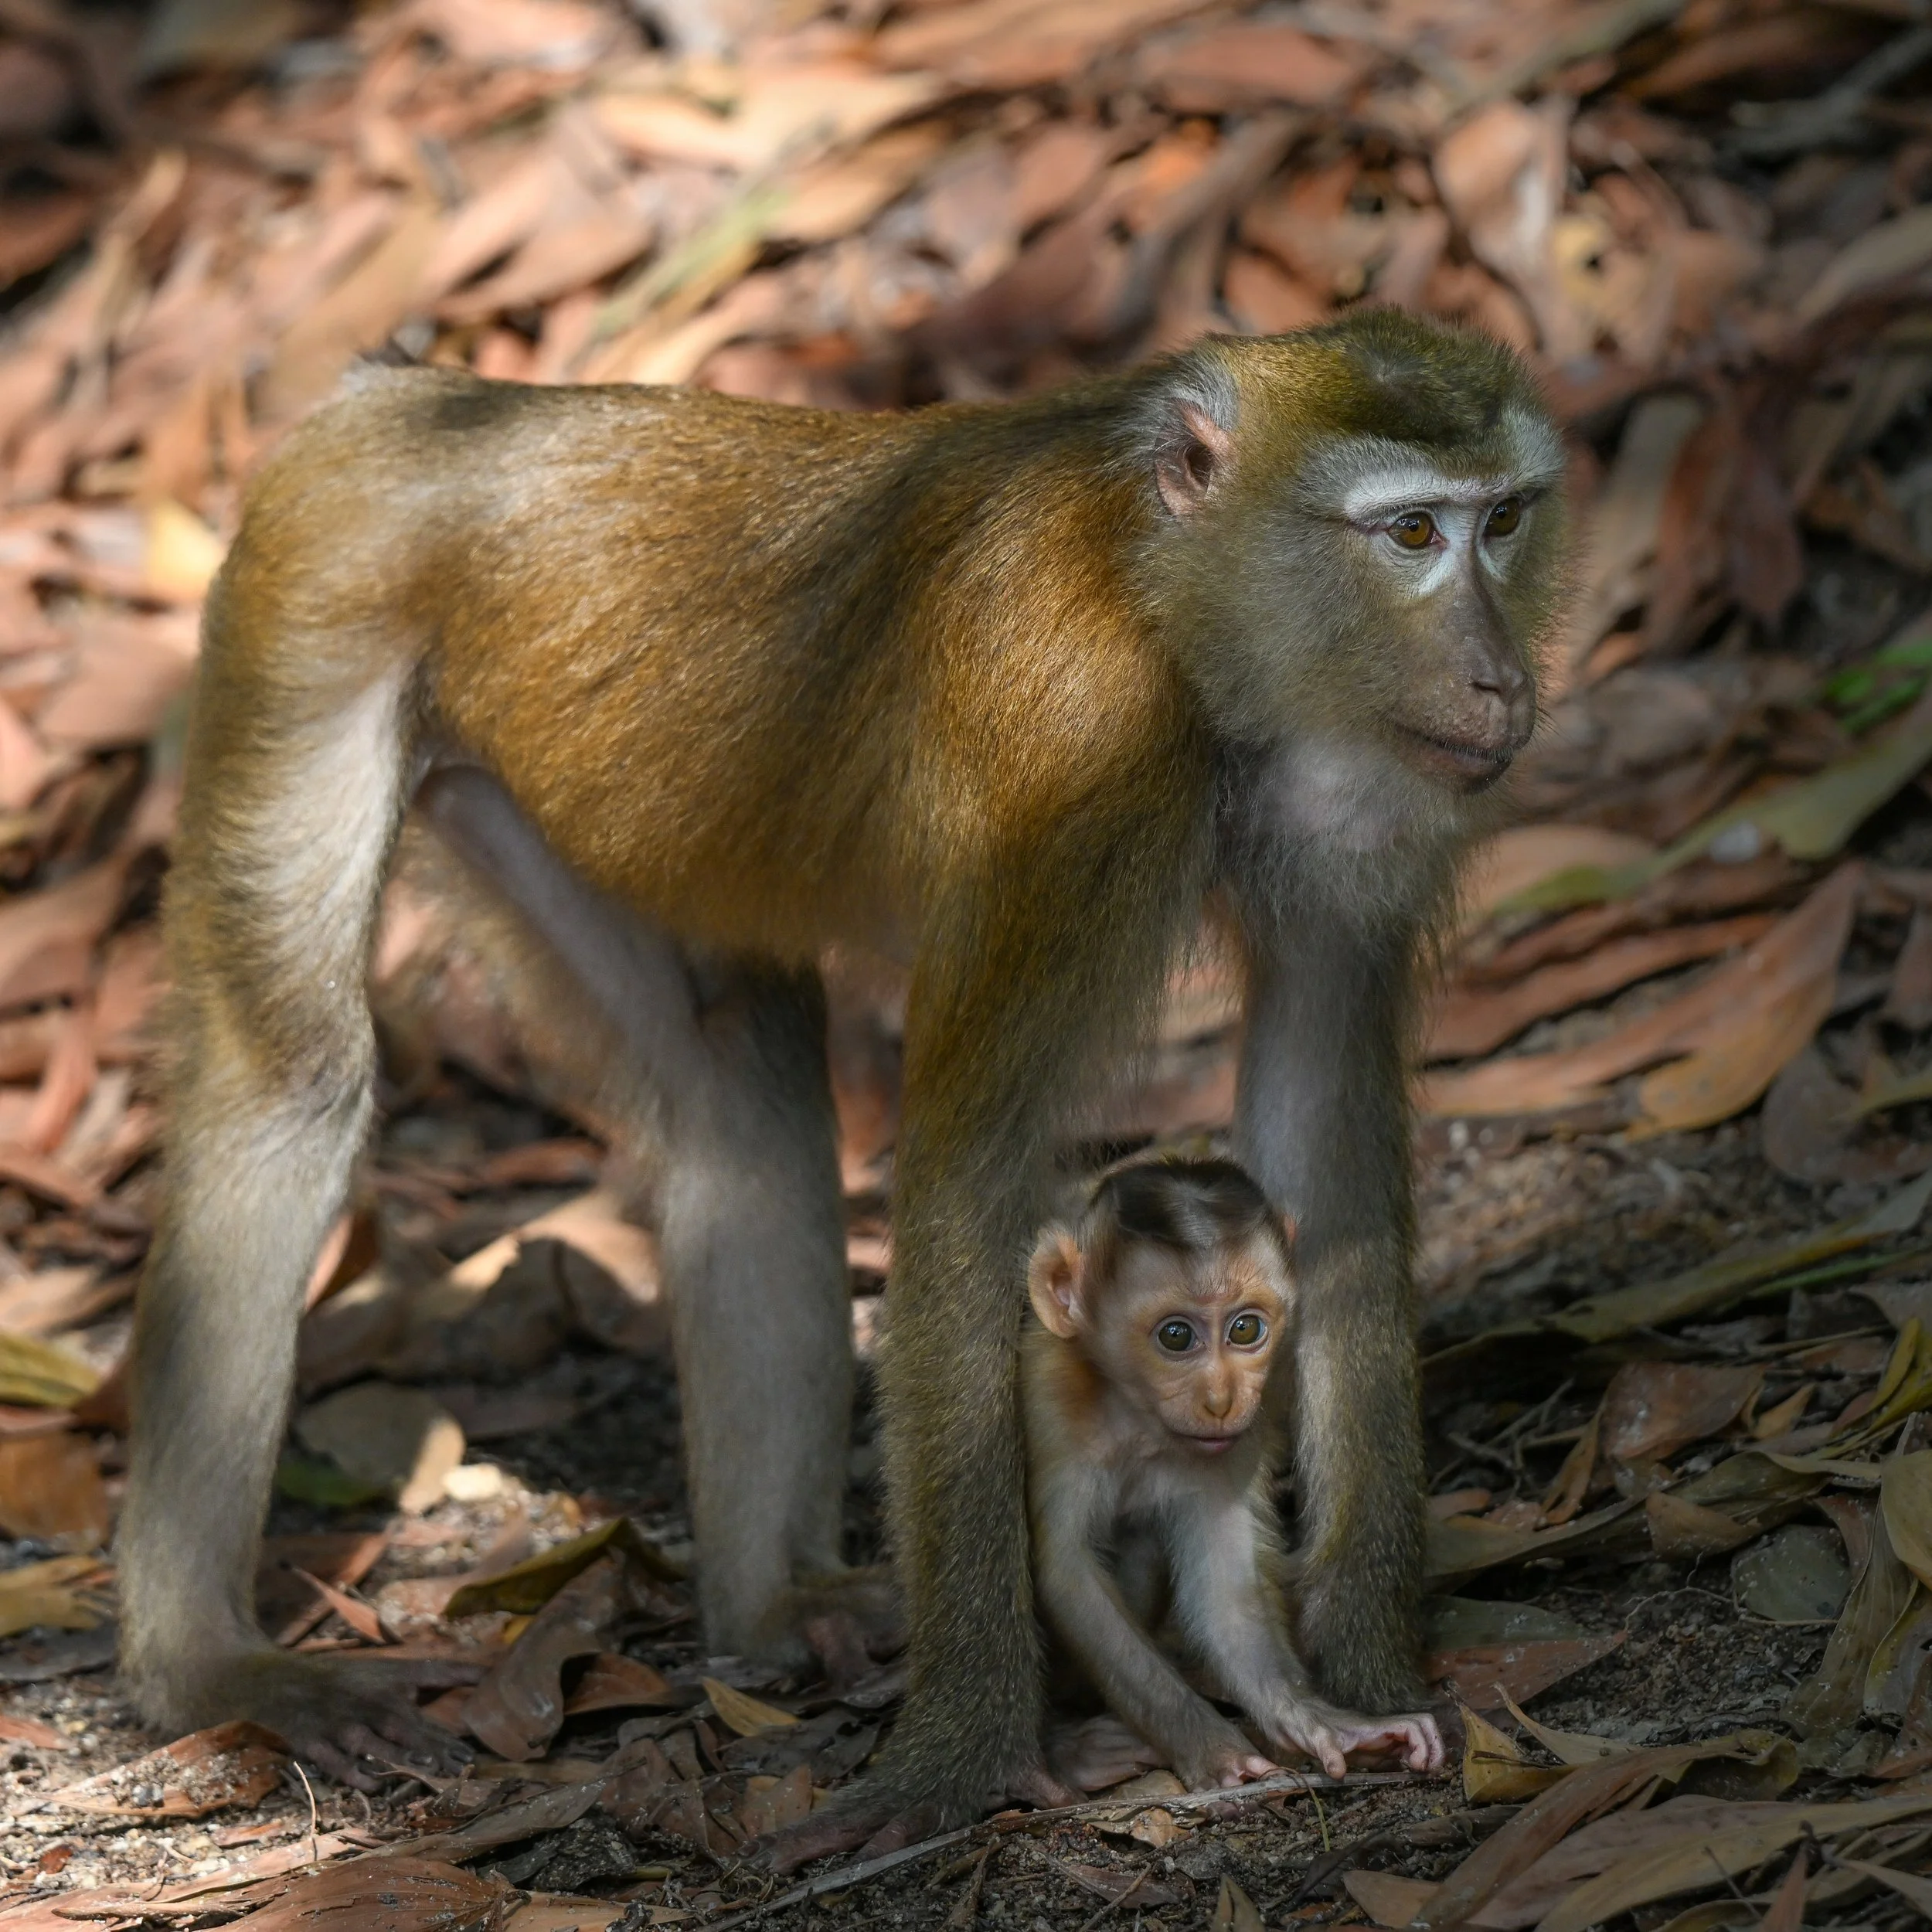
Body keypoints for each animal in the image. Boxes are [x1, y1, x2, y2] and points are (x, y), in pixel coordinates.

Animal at [1024, 1158, 1442, 1790]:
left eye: (1246, 1330)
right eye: (1175, 1336)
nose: (1221, 1399)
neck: (1139, 1420)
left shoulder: (1244, 1428)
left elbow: (1227, 1588)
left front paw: (1323, 1723)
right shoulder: (1053, 1408)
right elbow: (1067, 1573)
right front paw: (1211, 1747)